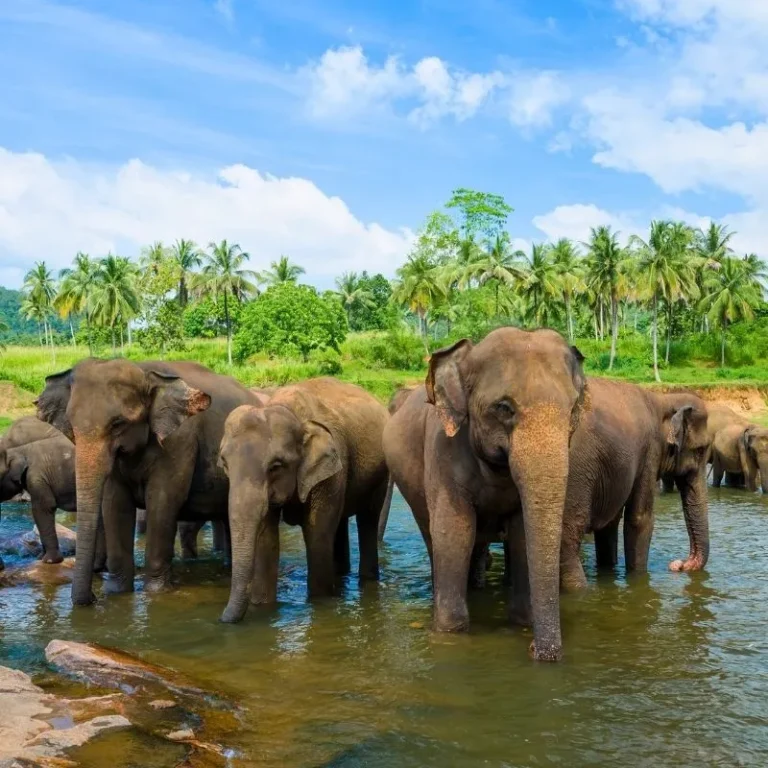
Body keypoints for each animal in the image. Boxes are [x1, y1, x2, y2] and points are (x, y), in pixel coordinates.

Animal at [35, 358, 260, 605]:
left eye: (118, 424)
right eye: (72, 425)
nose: (93, 598)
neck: (144, 371)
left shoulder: (179, 441)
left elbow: (163, 501)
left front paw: (156, 593)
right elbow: (115, 504)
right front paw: (116, 591)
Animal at [218, 377, 389, 623]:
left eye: (276, 466)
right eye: (224, 463)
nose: (222, 618)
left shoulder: (329, 470)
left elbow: (316, 534)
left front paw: (320, 605)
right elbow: (267, 540)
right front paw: (263, 608)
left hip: (379, 476)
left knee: (367, 520)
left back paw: (366, 581)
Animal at [383, 328, 589, 662]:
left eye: (573, 409)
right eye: (504, 408)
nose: (538, 651)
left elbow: (520, 535)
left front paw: (523, 623)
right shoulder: (442, 452)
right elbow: (455, 533)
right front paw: (449, 633)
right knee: (433, 537)